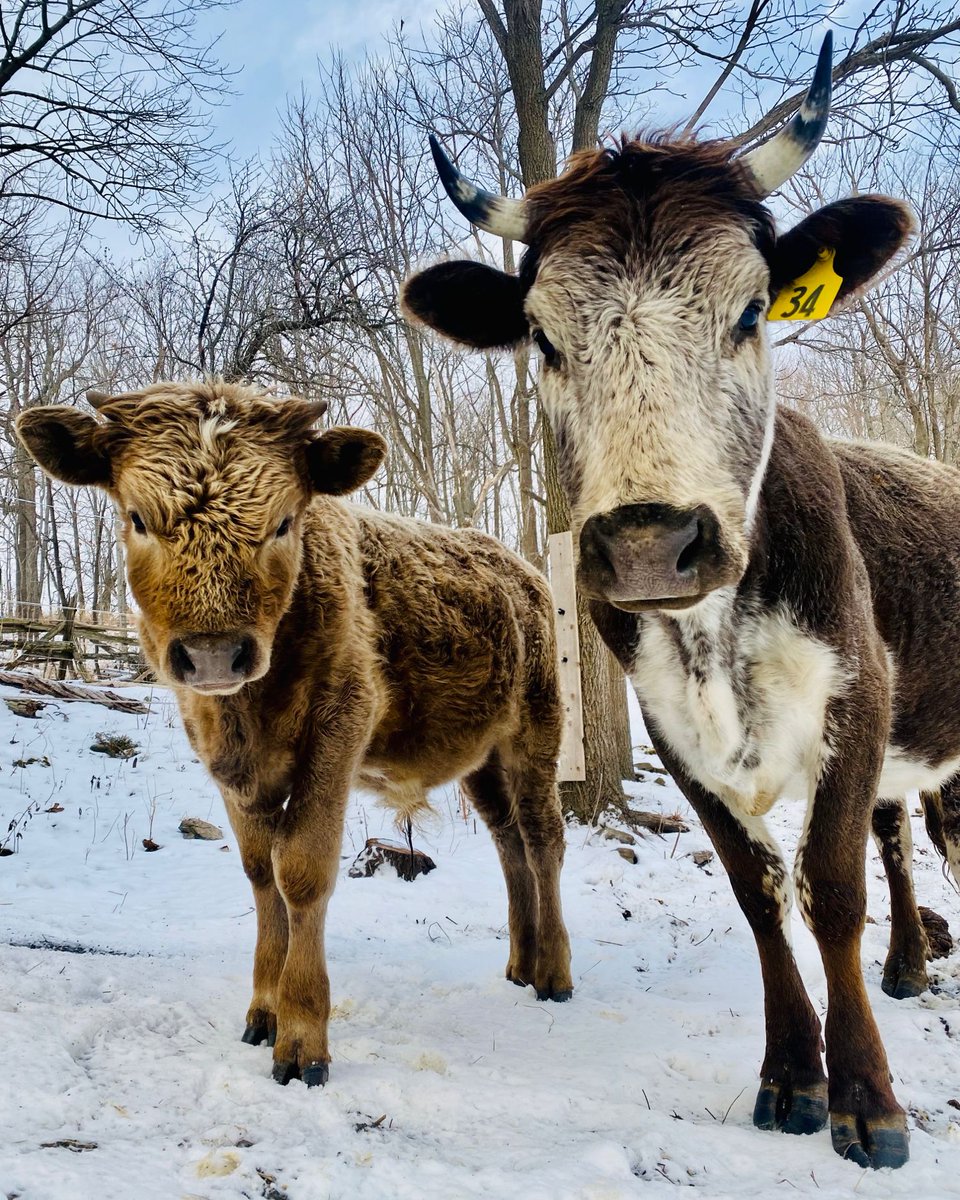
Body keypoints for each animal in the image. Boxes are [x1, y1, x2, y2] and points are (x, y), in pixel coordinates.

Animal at [16, 380, 573, 1088]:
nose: (215, 654)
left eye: (284, 522)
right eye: (137, 518)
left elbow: (302, 873)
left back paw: (554, 974)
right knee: (509, 842)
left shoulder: (335, 737)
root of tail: (522, 571)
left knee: (543, 838)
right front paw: (262, 1013)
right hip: (481, 760)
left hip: (536, 732)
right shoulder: (231, 769)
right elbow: (262, 874)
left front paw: (303, 1042)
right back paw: (519, 965)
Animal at [401, 33, 960, 1169]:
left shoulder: (856, 701)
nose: (652, 540)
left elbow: (831, 888)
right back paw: (911, 968)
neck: (716, 639)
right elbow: (759, 891)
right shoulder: (671, 732)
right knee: (899, 839)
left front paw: (868, 1099)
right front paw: (793, 1076)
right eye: (543, 340)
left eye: (750, 312)